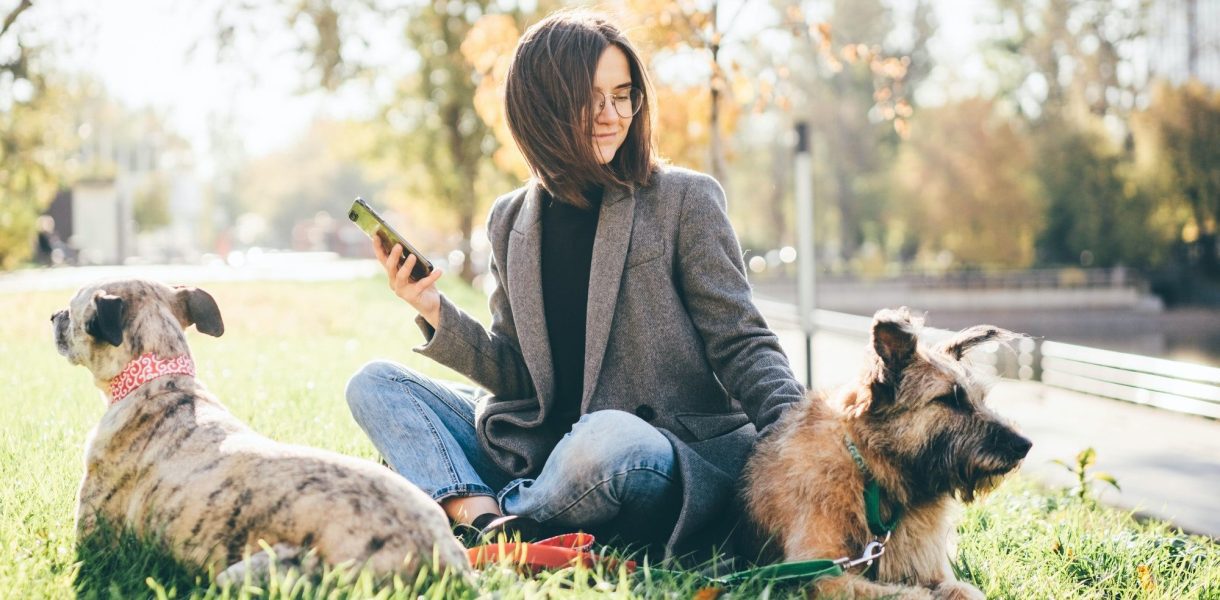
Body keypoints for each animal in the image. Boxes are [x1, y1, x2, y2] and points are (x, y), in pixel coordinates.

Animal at [50, 280, 466, 585]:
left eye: (70, 310)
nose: (53, 315)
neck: (161, 383)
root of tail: (443, 560)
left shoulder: (92, 539)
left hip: (256, 571)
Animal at [741, 309, 1029, 600]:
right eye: (948, 399)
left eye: (981, 398)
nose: (1025, 444)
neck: (874, 478)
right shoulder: (822, 575)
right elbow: (907, 594)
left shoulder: (933, 571)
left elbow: (965, 591)